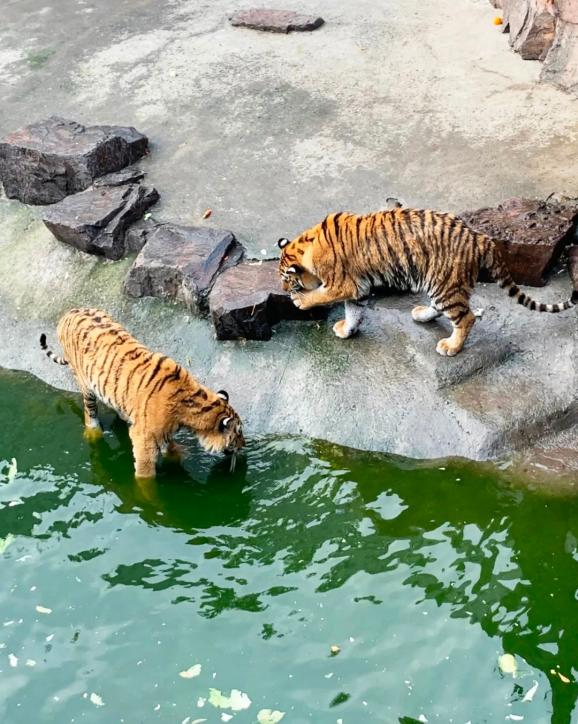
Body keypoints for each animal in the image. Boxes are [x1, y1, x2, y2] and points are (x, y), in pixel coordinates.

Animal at [39, 308, 243, 478]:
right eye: (238, 435)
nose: (244, 446)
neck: (189, 403)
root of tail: (67, 314)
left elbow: (169, 446)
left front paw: (177, 454)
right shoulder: (143, 438)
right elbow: (145, 474)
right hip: (86, 386)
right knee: (90, 412)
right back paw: (93, 432)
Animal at [276, 206, 572, 356]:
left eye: (287, 281)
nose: (282, 289)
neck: (306, 246)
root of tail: (478, 237)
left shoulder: (343, 283)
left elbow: (323, 294)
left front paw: (300, 300)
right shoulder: (357, 288)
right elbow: (354, 311)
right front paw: (346, 330)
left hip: (444, 283)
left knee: (466, 318)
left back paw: (450, 347)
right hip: (439, 281)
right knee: (446, 309)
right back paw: (422, 315)